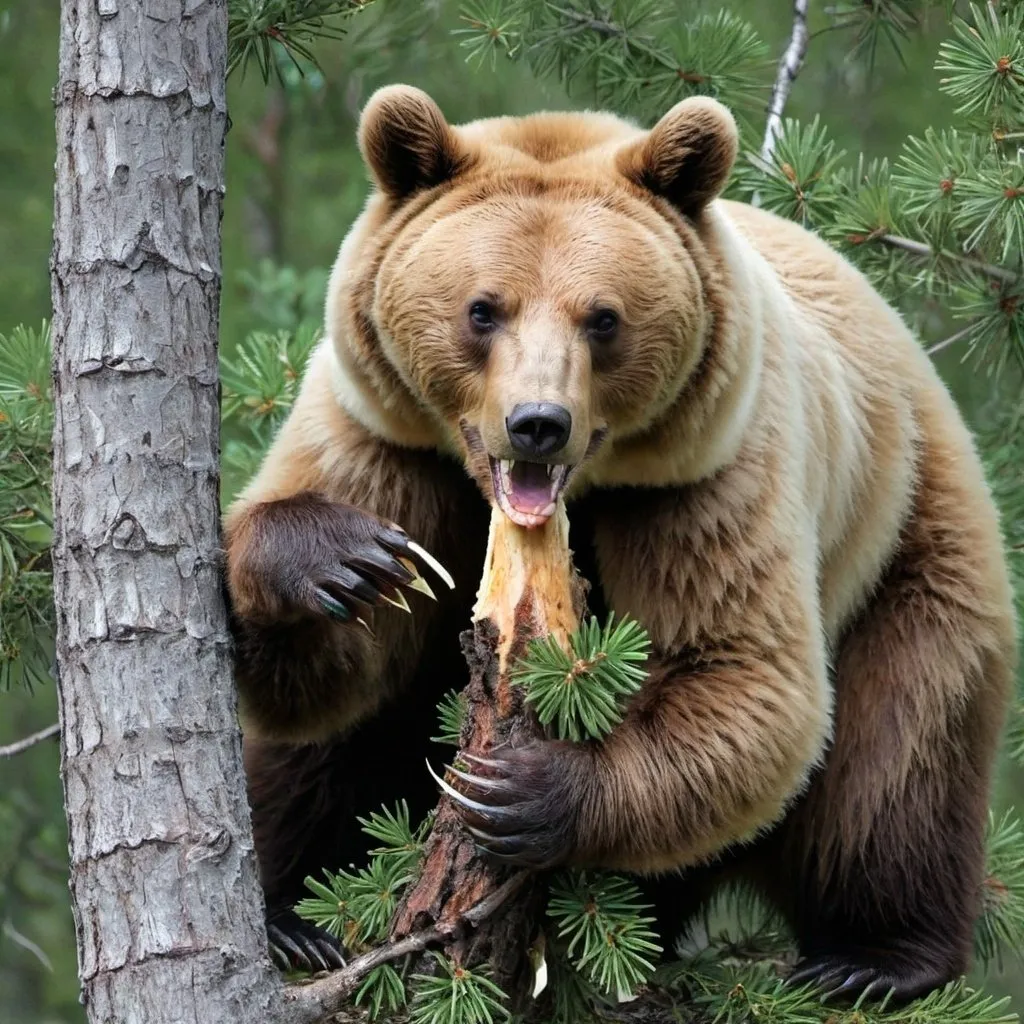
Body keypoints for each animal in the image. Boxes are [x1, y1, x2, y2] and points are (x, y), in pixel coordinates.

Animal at [222, 86, 1015, 999]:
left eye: (602, 319)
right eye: (482, 309)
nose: (537, 423)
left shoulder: (704, 479)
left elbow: (746, 677)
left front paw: (523, 788)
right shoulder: (384, 445)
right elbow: (328, 677)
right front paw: (345, 561)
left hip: (906, 531)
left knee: (896, 758)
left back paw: (875, 959)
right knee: (308, 764)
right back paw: (294, 920)